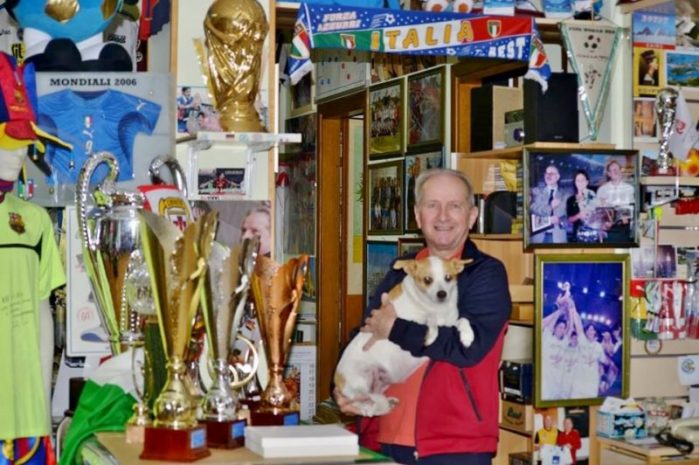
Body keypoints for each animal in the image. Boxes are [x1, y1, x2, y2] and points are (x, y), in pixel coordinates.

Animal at [334, 256, 474, 417]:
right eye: (427, 280)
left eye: (448, 278)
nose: (442, 294)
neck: (437, 308)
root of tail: (337, 380)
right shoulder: (411, 317)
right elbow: (430, 318)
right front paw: (431, 335)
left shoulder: (451, 322)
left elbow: (463, 320)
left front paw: (467, 335)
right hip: (361, 379)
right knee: (365, 405)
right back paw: (379, 405)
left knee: (371, 404)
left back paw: (387, 404)